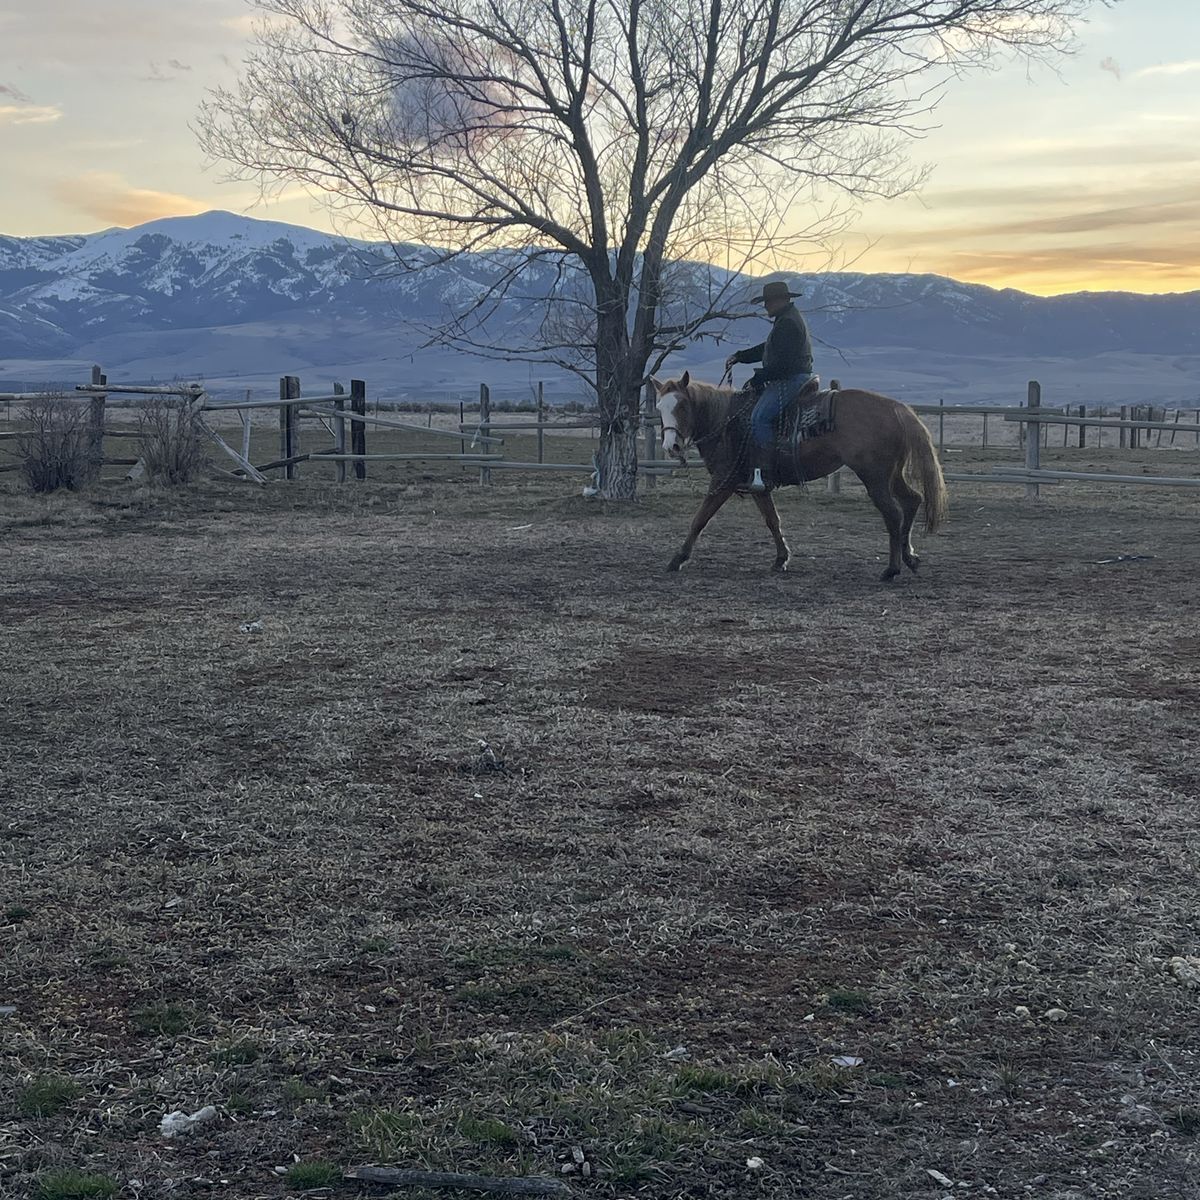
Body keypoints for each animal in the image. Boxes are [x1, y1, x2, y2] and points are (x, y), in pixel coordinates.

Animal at [650, 372, 948, 580]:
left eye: (682, 407)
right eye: (659, 407)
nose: (671, 446)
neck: (725, 422)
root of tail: (898, 408)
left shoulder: (723, 481)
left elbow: (700, 519)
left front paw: (678, 558)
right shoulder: (758, 485)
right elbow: (772, 520)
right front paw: (781, 558)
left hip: (874, 477)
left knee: (893, 513)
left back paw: (891, 569)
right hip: (891, 474)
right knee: (912, 500)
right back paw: (910, 558)